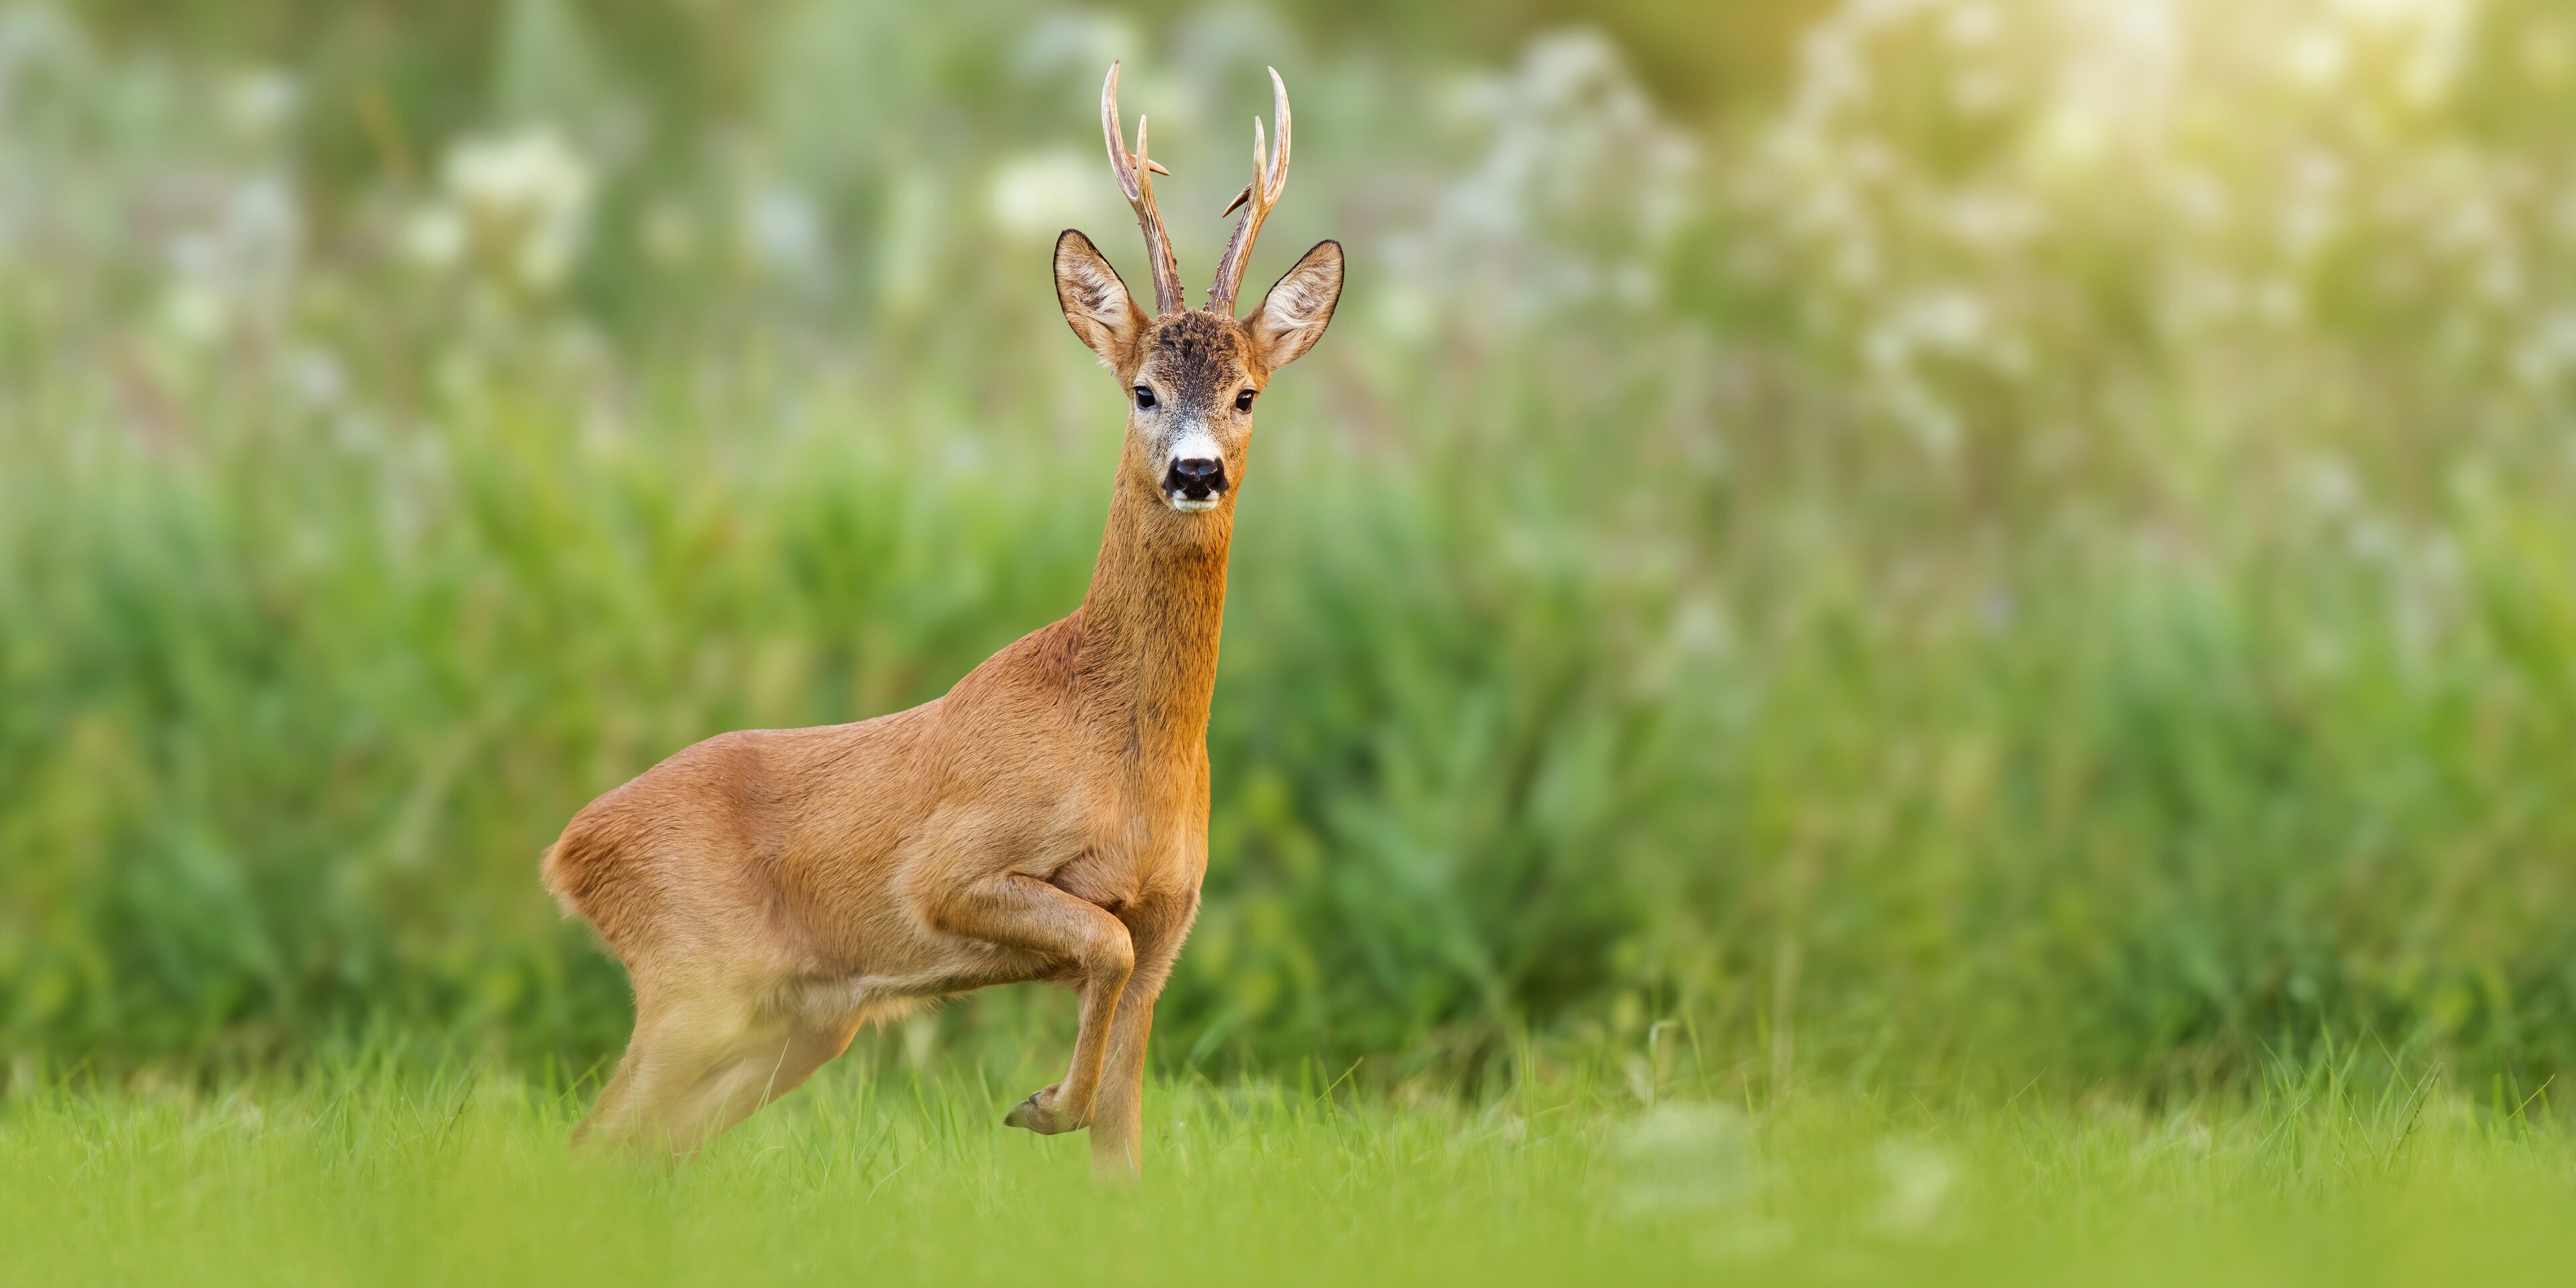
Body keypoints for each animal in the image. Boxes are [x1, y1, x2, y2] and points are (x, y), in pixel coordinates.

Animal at [543, 62, 1350, 1179]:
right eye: (1143, 390)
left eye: (1247, 394)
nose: (1197, 473)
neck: (1127, 746)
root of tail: (569, 851)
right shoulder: (952, 869)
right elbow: (1099, 950)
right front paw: (1041, 1104)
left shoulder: (1170, 921)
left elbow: (1124, 1138)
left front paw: (1067, 1115)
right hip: (694, 982)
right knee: (590, 1140)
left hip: (797, 1022)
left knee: (632, 1151)